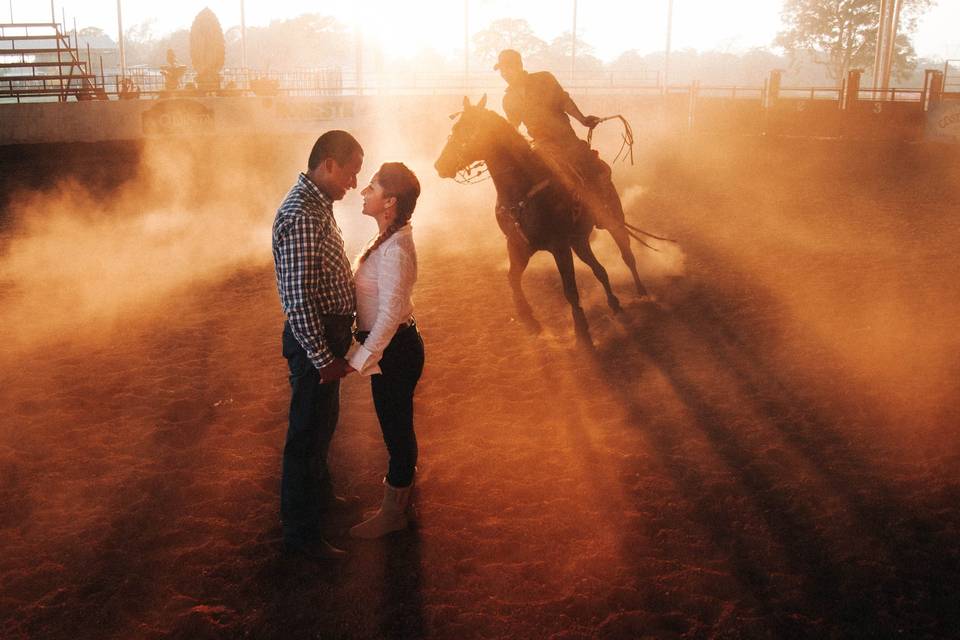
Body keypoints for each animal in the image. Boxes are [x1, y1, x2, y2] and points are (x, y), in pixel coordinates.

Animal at [434, 95, 624, 342]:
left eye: (464, 129)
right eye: (454, 128)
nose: (439, 165)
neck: (522, 188)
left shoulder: (559, 246)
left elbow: (570, 289)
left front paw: (582, 330)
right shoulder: (518, 245)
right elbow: (512, 278)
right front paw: (529, 319)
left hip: (612, 221)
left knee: (627, 255)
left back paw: (641, 293)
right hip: (579, 240)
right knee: (599, 269)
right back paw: (614, 302)